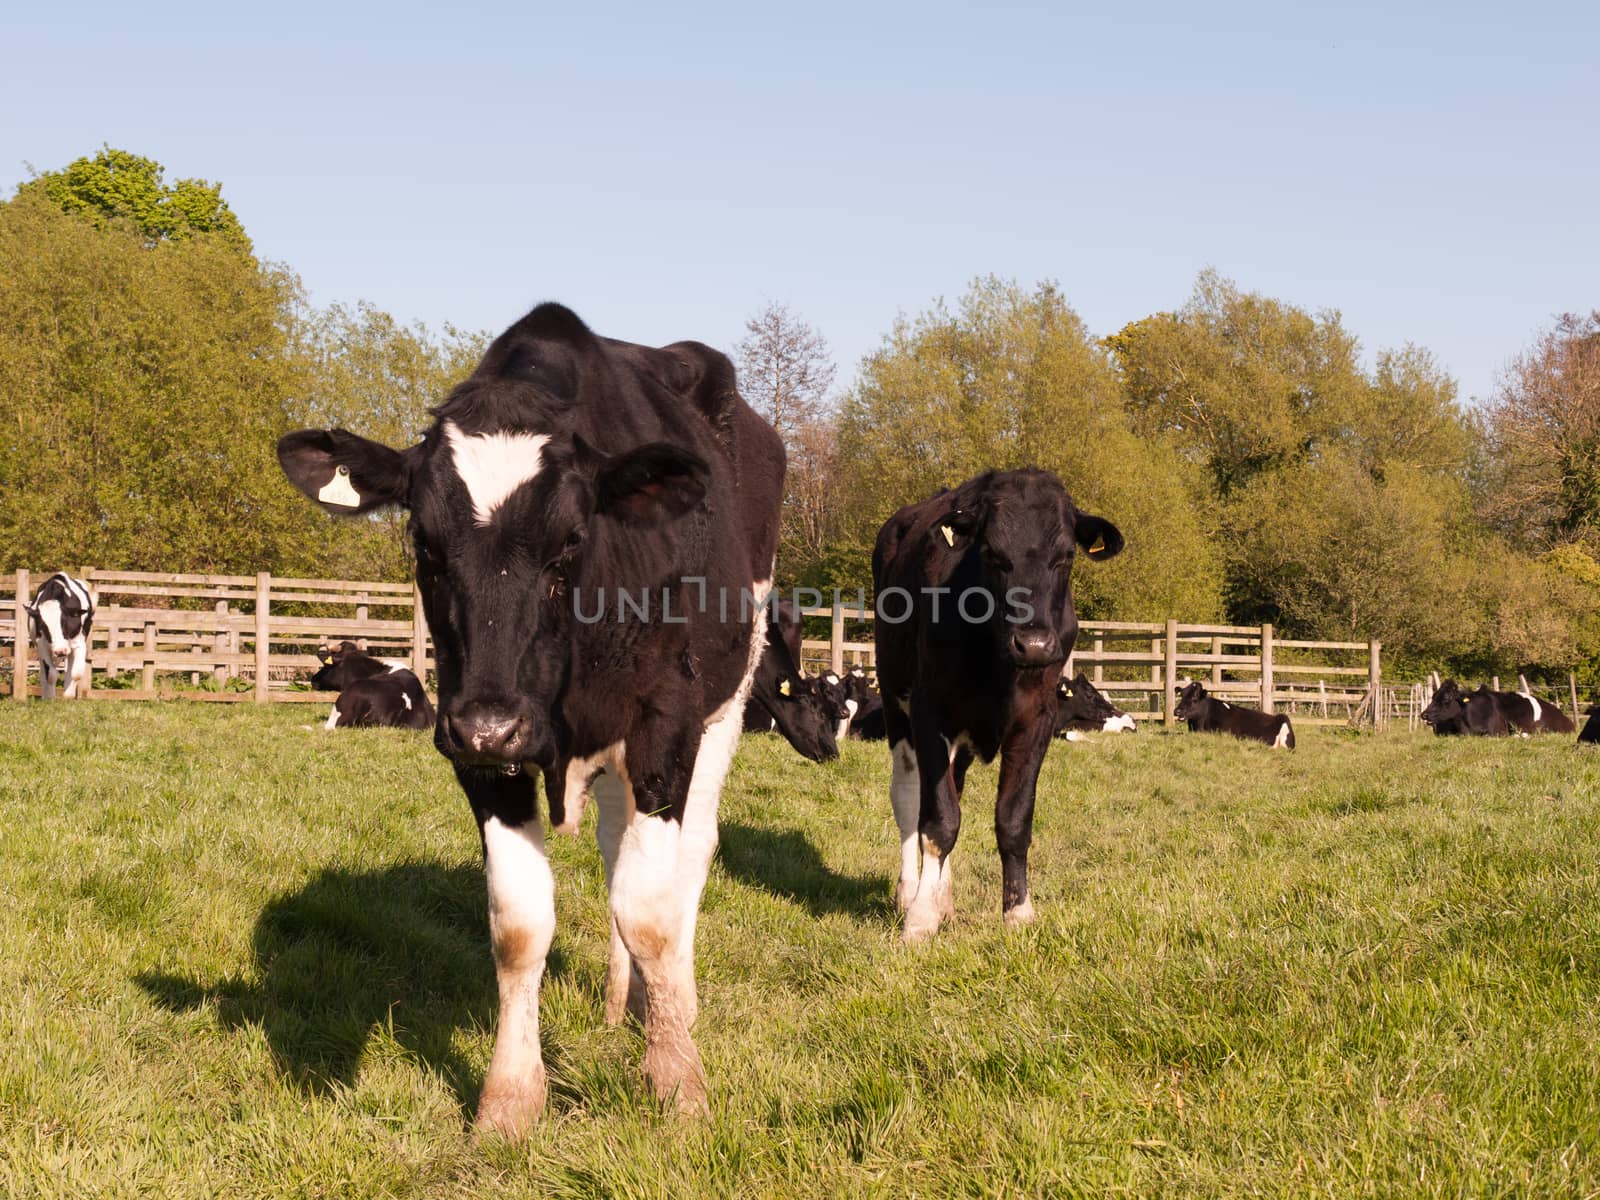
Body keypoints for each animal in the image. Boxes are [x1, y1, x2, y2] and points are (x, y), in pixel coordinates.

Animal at [276, 300, 787, 1139]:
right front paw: (510, 1101)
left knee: (689, 859)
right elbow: (519, 925)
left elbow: (650, 911)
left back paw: (675, 1005)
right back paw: (625, 1001)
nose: (491, 723)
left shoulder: (664, 721)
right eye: (423, 540)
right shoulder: (478, 747)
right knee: (616, 847)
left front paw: (677, 1084)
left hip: (727, 702)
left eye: (571, 538)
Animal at [870, 464, 1120, 947]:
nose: (1034, 644)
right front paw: (920, 918)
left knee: (953, 788)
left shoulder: (1037, 720)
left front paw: (1018, 912)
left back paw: (943, 896)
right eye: (991, 553)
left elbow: (1013, 819)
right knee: (909, 798)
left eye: (1066, 556)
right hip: (895, 698)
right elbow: (939, 821)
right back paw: (911, 892)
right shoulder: (929, 711)